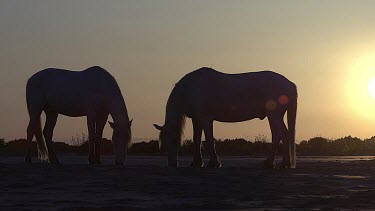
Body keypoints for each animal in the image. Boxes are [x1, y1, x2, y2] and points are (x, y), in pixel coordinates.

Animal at [154, 67, 298, 169]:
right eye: (163, 143)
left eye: (174, 140)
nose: (172, 164)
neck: (191, 89)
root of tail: (290, 83)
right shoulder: (197, 119)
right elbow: (197, 139)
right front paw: (197, 162)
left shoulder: (206, 118)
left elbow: (209, 139)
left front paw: (214, 163)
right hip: (276, 116)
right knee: (282, 135)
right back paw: (282, 163)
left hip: (274, 115)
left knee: (279, 135)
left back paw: (273, 163)